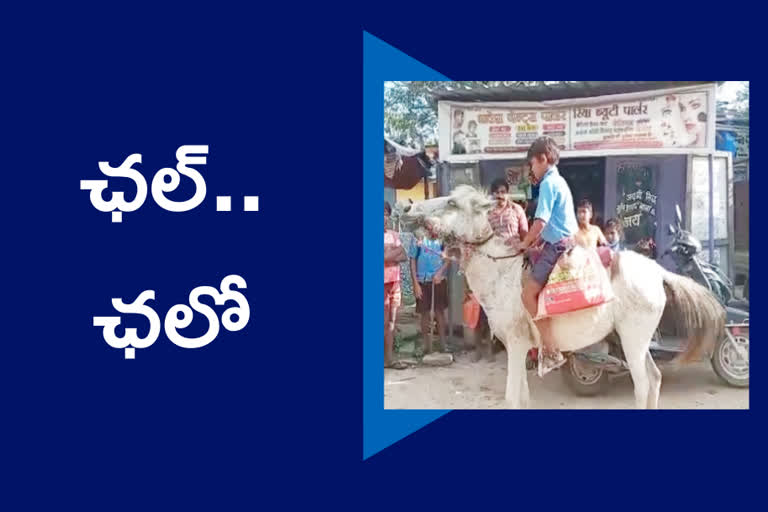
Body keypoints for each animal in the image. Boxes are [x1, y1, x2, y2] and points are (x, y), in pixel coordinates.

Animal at [402, 186, 728, 410]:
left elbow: (511, 398)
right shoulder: (519, 348)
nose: (407, 208)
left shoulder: (517, 345)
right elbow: (523, 398)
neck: (502, 271)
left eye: (452, 203)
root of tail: (658, 271)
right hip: (637, 341)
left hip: (632, 341)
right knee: (656, 378)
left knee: (643, 385)